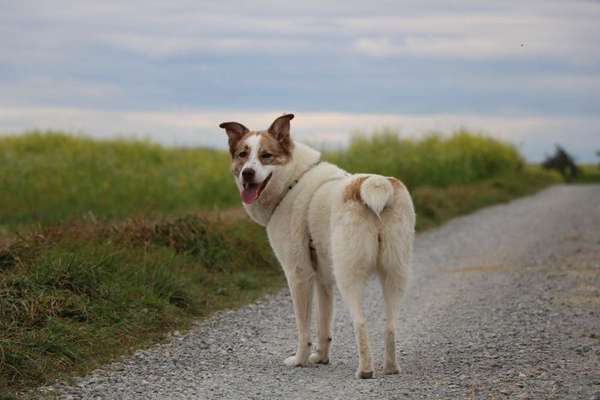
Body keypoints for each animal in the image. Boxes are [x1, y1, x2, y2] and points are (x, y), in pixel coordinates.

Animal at [218, 113, 414, 378]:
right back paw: (391, 368)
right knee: (390, 324)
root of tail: (376, 183)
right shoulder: (323, 279)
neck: (292, 181)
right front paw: (321, 357)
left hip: (349, 277)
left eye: (266, 155)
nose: (247, 173)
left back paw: (365, 370)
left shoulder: (298, 274)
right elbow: (324, 324)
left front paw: (300, 360)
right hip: (394, 274)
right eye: (242, 154)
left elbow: (304, 328)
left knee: (360, 322)